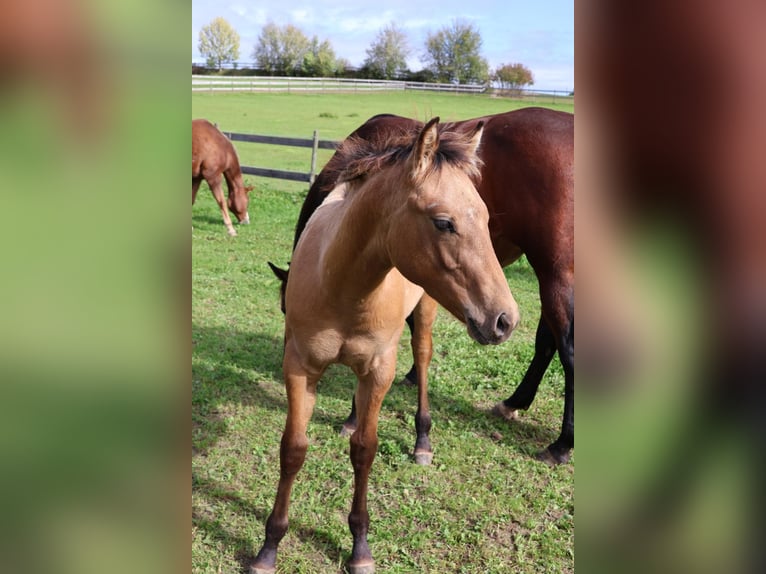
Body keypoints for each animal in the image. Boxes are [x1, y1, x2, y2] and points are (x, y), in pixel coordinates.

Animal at [251, 118, 519, 574]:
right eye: (443, 222)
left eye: (484, 218)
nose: (505, 319)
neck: (344, 285)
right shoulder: (301, 367)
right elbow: (293, 449)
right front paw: (269, 547)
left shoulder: (381, 369)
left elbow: (365, 451)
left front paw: (360, 546)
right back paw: (351, 417)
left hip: (425, 312)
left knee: (423, 359)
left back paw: (422, 441)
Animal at [271, 108, 574, 465]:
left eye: (284, 308)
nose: (504, 320)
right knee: (547, 342)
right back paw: (514, 403)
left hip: (555, 273)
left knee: (566, 349)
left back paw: (560, 444)